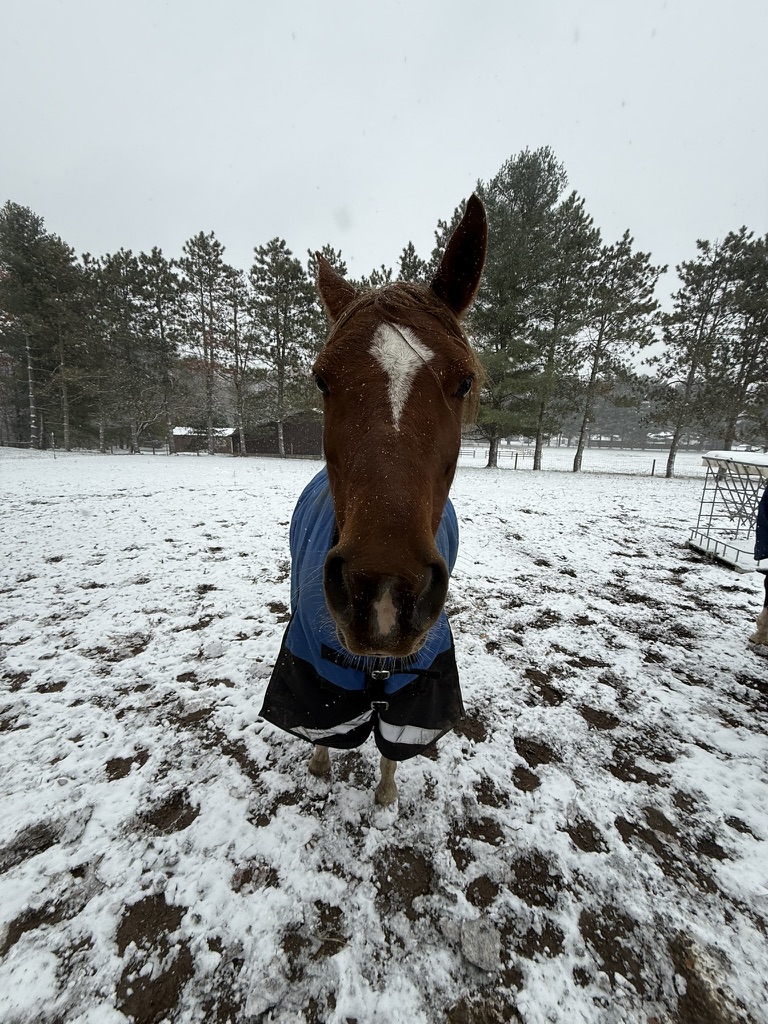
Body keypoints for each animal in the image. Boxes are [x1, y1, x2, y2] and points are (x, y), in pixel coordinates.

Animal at [260, 195, 487, 806]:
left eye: (463, 382)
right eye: (322, 379)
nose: (384, 586)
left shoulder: (417, 686)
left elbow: (392, 746)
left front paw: (385, 795)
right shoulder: (316, 674)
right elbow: (324, 726)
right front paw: (320, 767)